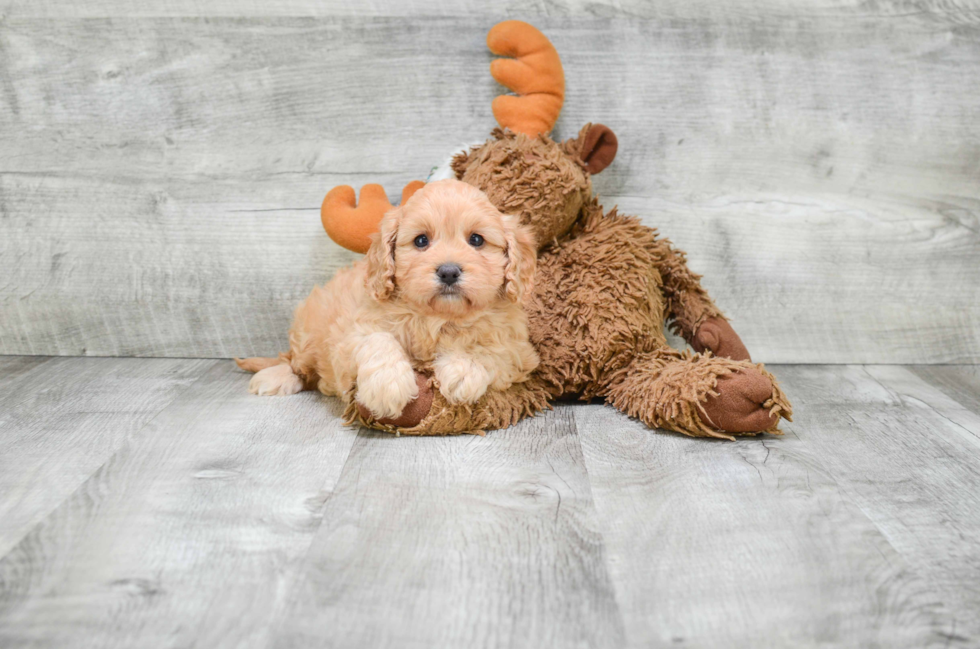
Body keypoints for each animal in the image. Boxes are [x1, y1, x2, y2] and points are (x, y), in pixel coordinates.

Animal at [240, 177, 540, 420]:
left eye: (476, 240)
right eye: (421, 241)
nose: (448, 271)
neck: (437, 317)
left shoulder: (518, 350)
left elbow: (490, 348)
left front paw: (463, 368)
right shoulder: (350, 334)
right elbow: (377, 340)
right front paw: (388, 385)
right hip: (308, 330)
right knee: (295, 363)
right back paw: (275, 377)